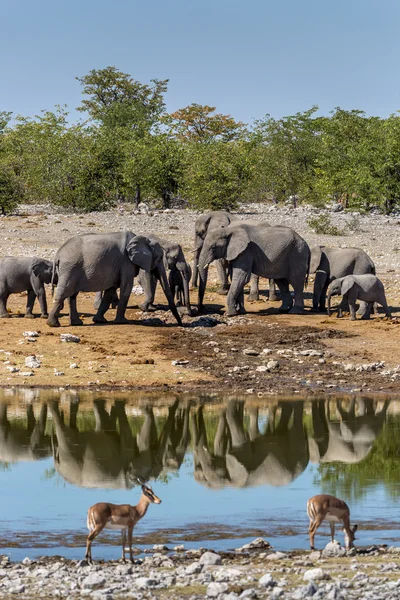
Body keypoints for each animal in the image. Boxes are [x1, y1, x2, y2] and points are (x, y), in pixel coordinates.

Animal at [46, 231, 181, 328]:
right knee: (64, 292)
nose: (180, 324)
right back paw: (53, 324)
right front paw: (123, 322)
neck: (140, 238)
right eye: (159, 258)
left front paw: (99, 321)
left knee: (72, 295)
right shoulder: (126, 262)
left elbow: (110, 291)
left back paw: (76, 323)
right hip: (70, 268)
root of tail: (58, 254)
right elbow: (126, 287)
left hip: (71, 269)